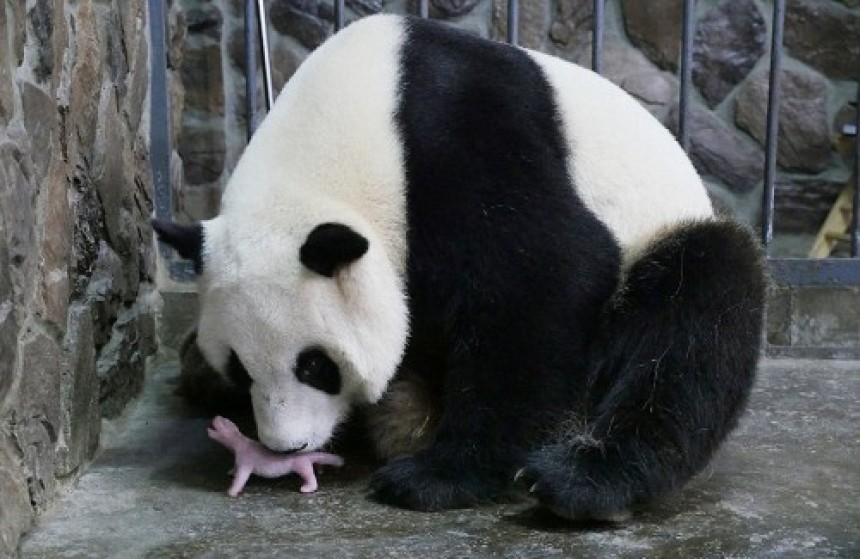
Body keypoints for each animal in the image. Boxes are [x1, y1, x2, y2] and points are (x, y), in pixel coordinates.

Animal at [155, 13, 764, 520]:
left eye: (315, 366)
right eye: (240, 368)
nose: (288, 447)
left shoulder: (458, 137)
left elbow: (548, 277)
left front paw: (437, 477)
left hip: (661, 239)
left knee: (696, 314)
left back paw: (580, 483)